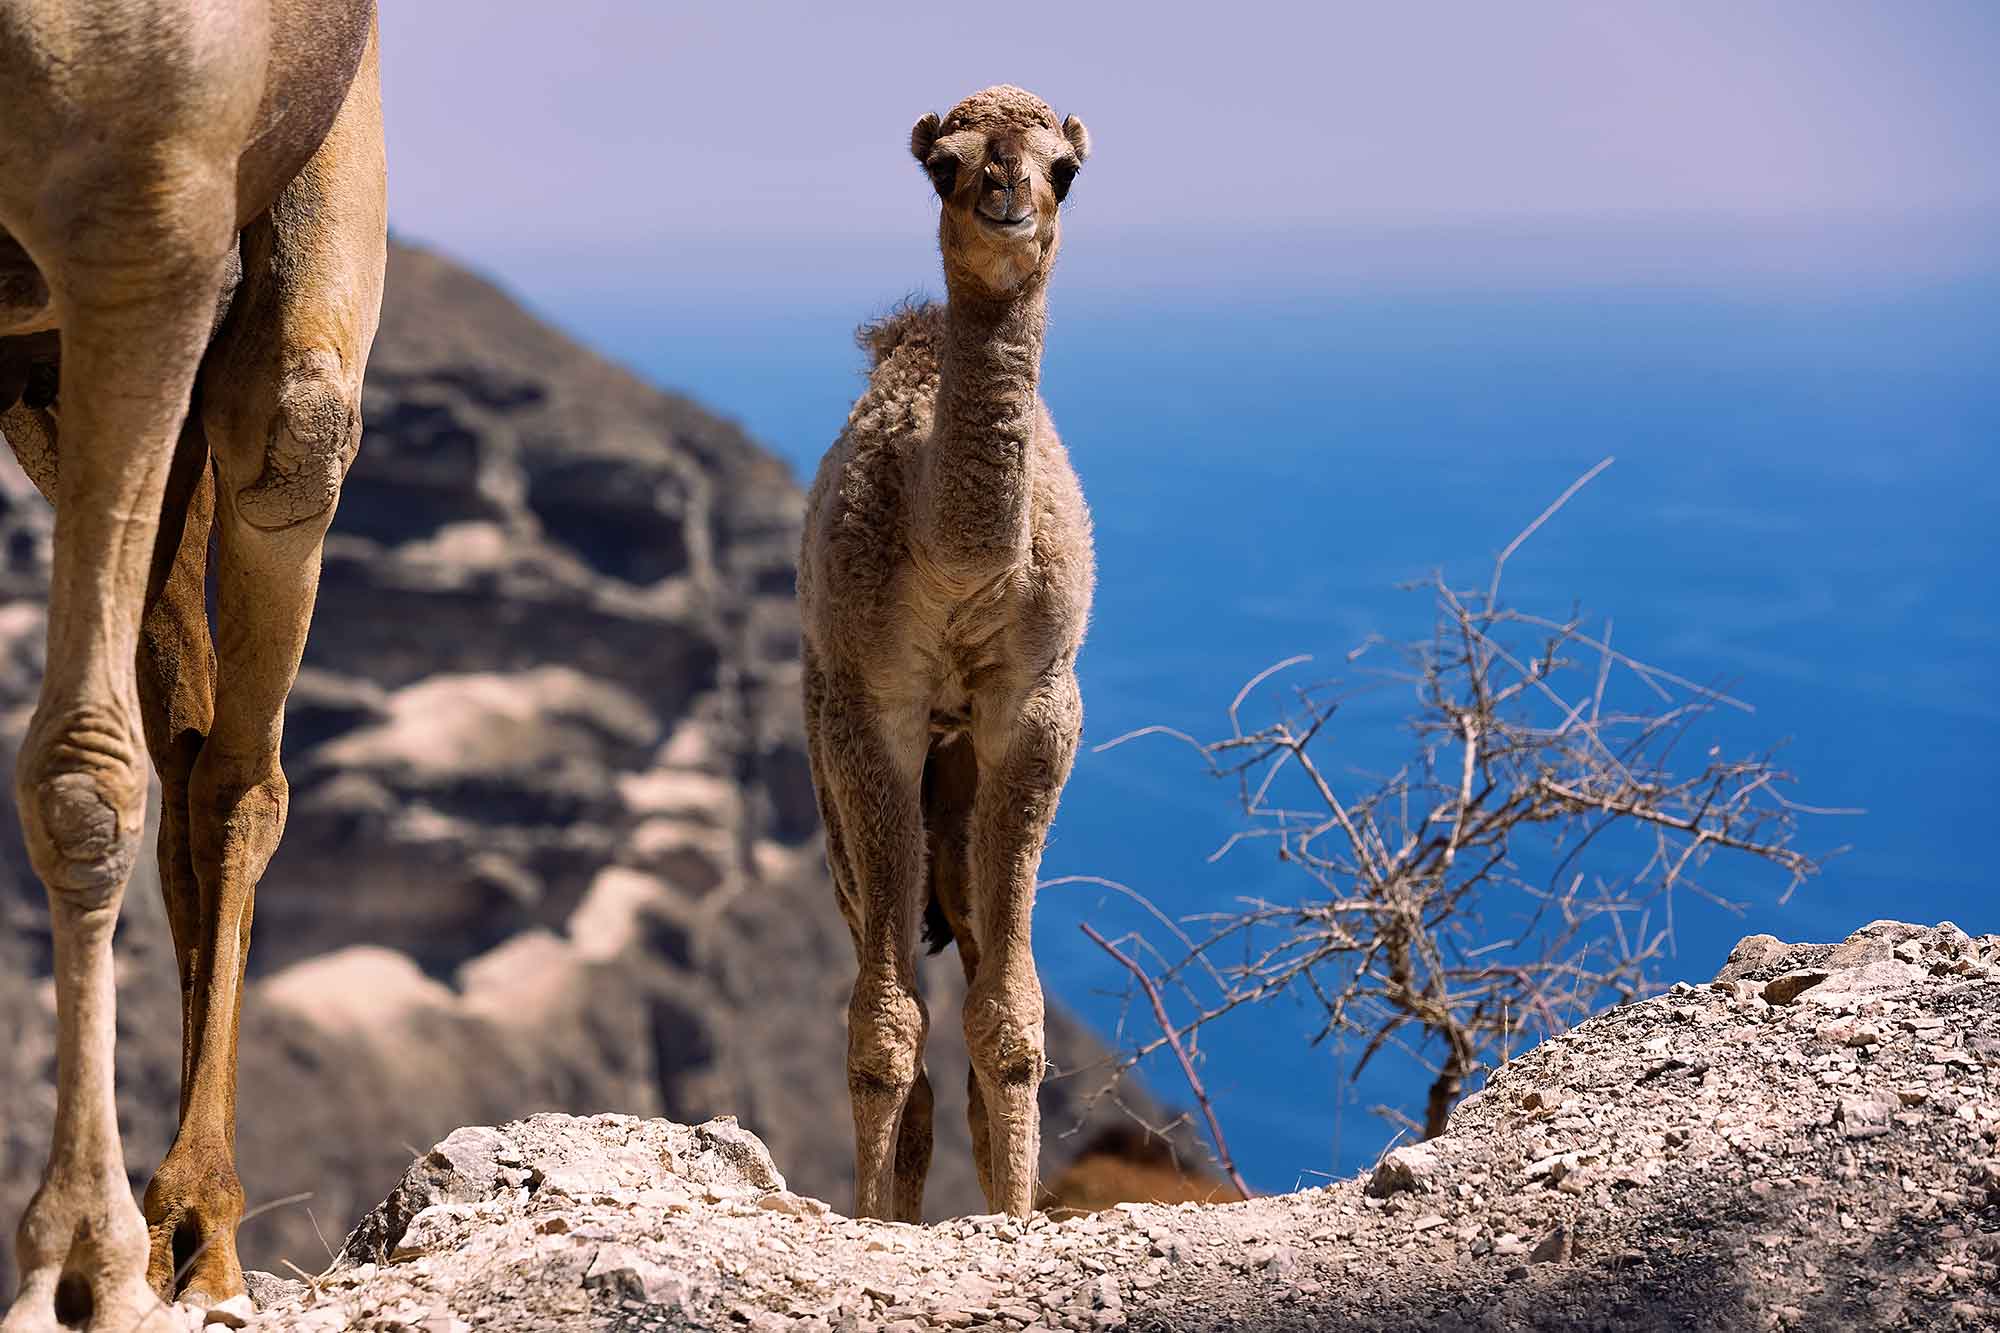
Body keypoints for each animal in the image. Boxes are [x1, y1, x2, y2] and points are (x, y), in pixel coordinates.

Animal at [800, 88, 1096, 1216]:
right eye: (945, 165)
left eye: (1066, 169)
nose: (1004, 191)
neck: (956, 560)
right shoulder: (867, 707)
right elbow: (881, 1028)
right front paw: (872, 1218)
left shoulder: (1038, 703)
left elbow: (1010, 1017)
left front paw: (1013, 1216)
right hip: (830, 783)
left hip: (960, 789)